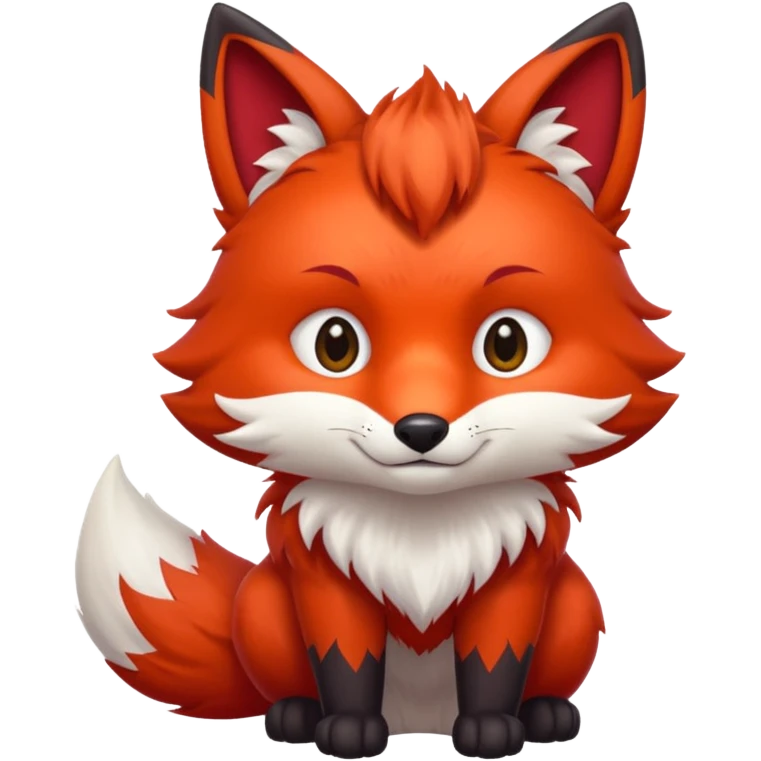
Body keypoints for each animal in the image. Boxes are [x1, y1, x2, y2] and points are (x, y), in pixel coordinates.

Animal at [74, 2, 682, 758]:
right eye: (334, 344)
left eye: (506, 344)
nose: (421, 428)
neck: (419, 534)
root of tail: (421, 719)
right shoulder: (326, 582)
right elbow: (346, 661)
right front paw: (348, 732)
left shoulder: (514, 582)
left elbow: (494, 663)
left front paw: (491, 732)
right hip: (263, 602)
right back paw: (294, 715)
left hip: (574, 598)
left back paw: (545, 714)